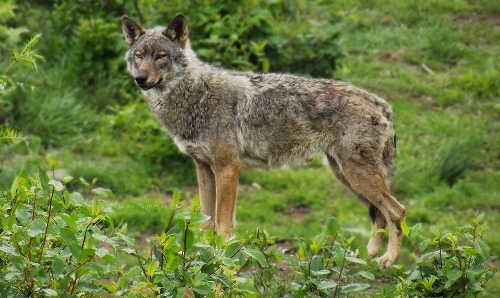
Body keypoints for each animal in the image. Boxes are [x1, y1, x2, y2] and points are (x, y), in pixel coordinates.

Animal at [121, 12, 406, 266]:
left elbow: (222, 223)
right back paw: (367, 256)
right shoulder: (203, 167)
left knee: (396, 211)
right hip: (347, 177)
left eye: (161, 56)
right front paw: (197, 254)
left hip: (357, 177)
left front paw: (222, 255)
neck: (195, 97)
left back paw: (388, 259)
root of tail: (380, 103)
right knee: (380, 214)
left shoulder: (227, 167)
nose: (140, 79)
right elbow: (205, 220)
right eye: (139, 56)